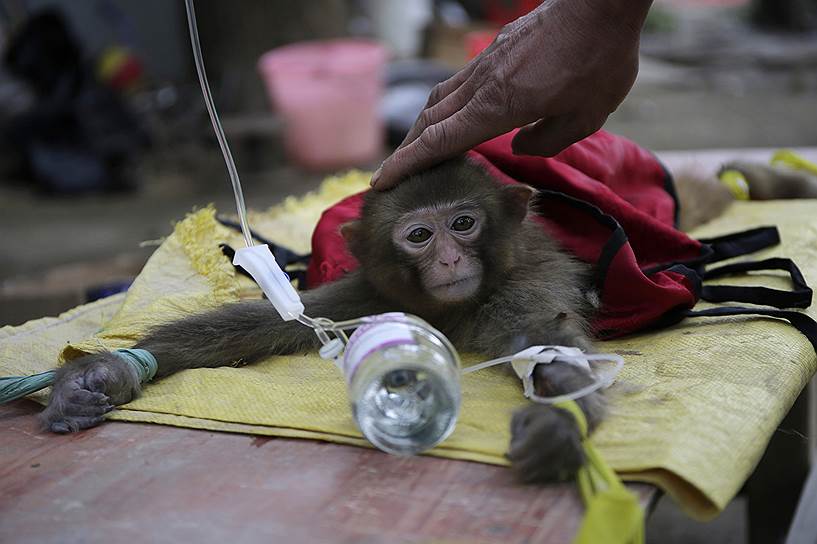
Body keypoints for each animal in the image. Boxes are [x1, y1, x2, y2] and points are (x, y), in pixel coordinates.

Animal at [39, 156, 817, 480]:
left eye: (463, 224)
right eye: (418, 235)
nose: (445, 256)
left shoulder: (526, 281)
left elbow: (550, 343)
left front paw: (558, 425)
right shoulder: (368, 294)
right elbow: (262, 325)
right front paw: (101, 376)